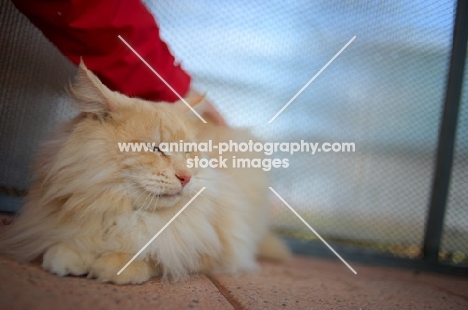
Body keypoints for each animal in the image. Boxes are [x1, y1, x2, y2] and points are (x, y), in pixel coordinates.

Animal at [0, 62, 290, 284]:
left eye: (188, 152)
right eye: (157, 149)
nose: (186, 177)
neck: (128, 213)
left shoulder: (209, 248)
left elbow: (157, 254)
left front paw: (115, 265)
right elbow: (69, 239)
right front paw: (70, 254)